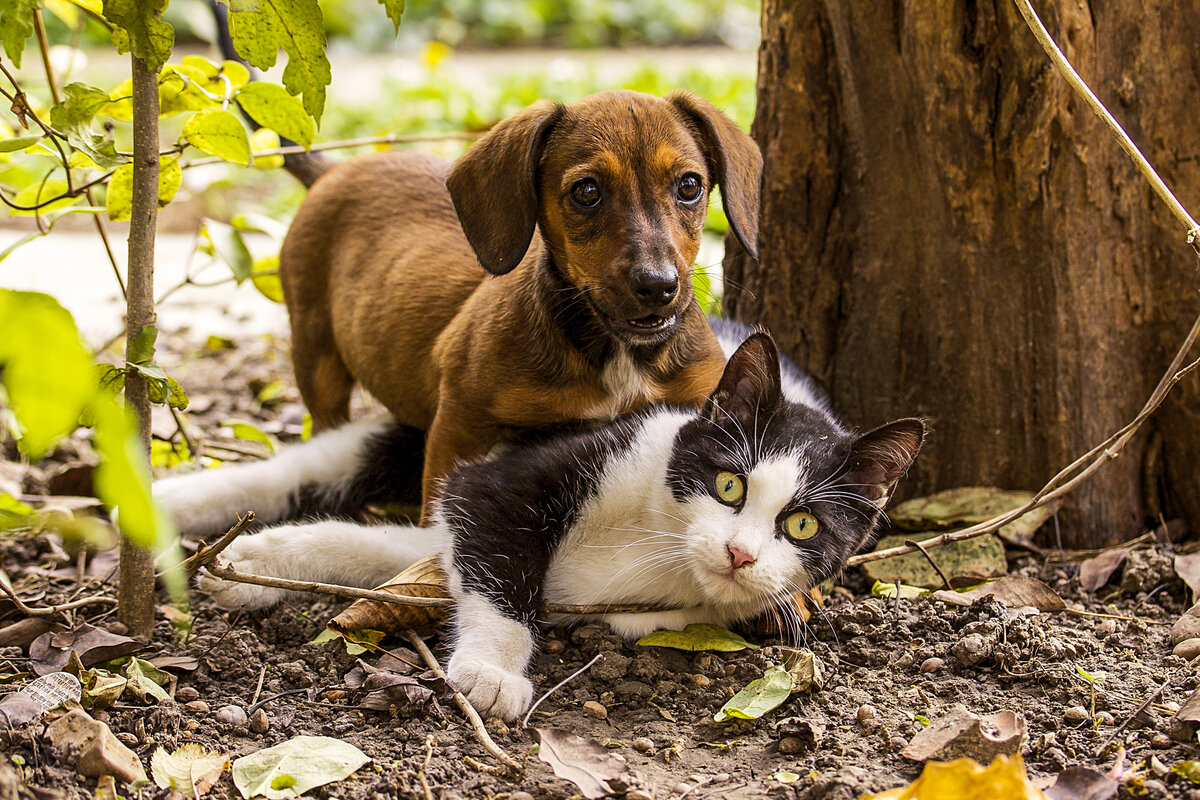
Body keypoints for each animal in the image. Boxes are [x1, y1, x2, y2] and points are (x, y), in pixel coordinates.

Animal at [154, 323, 921, 719]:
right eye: (729, 483)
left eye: (803, 527)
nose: (739, 554)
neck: (661, 541)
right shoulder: (518, 475)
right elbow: (498, 563)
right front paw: (492, 672)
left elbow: (404, 551)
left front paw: (258, 564)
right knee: (311, 465)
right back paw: (166, 505)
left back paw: (237, 560)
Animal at [283, 90, 758, 515]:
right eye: (587, 191)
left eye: (690, 185)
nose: (658, 286)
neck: (616, 354)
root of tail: (332, 171)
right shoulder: (460, 423)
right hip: (316, 355)